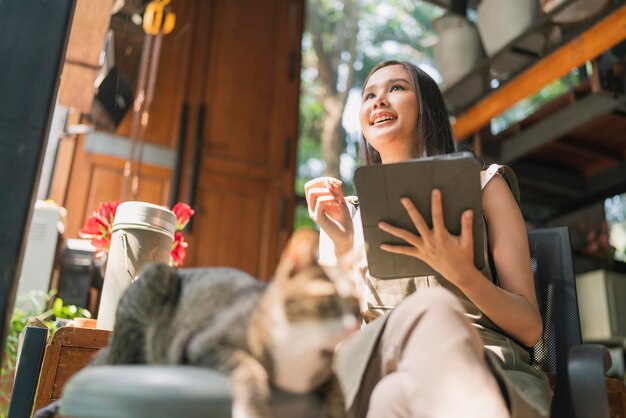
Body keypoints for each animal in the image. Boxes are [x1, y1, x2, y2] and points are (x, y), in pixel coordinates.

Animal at [92, 229, 356, 418]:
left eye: (355, 303)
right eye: (327, 298)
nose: (353, 326)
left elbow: (339, 391)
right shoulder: (204, 343)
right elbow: (249, 368)